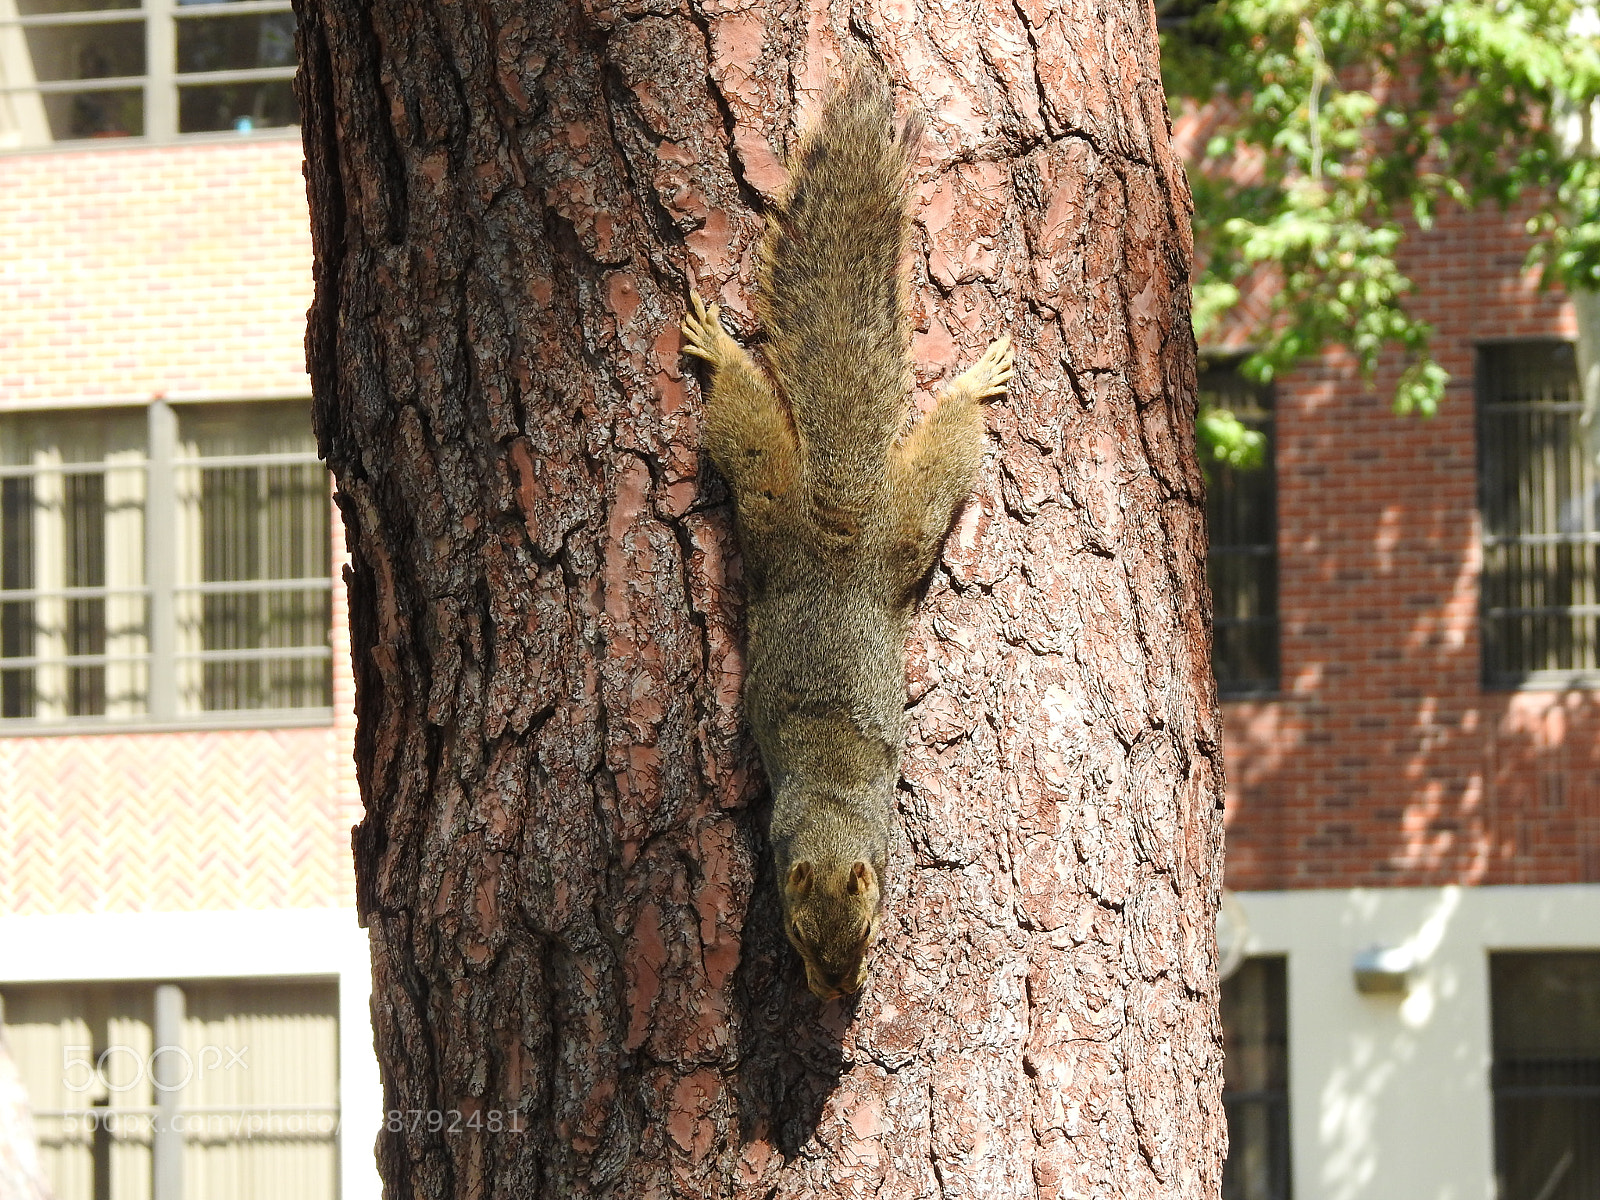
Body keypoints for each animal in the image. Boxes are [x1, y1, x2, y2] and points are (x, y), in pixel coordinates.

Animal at [681, 62, 1014, 1002]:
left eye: (866, 929)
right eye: (798, 934)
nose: (838, 992)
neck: (831, 812)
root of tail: (838, 531)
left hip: (890, 527)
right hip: (781, 512)